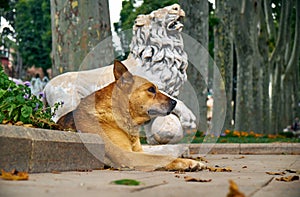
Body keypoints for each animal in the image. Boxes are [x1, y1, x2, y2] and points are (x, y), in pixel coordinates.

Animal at [57, 60, 205, 171]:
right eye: (151, 89)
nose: (175, 102)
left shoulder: (138, 152)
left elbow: (158, 155)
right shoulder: (125, 156)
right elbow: (161, 157)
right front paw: (188, 162)